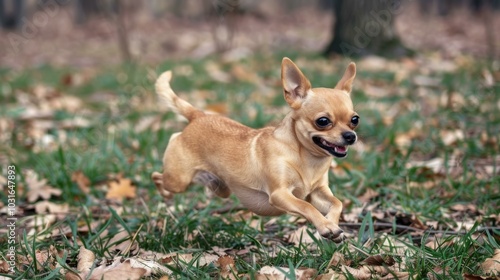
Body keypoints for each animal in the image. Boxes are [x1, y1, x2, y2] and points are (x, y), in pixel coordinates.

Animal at [152, 58, 360, 242]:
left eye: (355, 120)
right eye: (323, 121)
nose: (350, 136)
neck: (306, 158)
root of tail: (199, 116)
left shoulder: (317, 193)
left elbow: (337, 203)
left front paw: (331, 224)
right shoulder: (280, 194)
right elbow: (306, 206)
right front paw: (325, 226)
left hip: (220, 189)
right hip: (178, 180)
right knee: (157, 175)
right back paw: (165, 194)